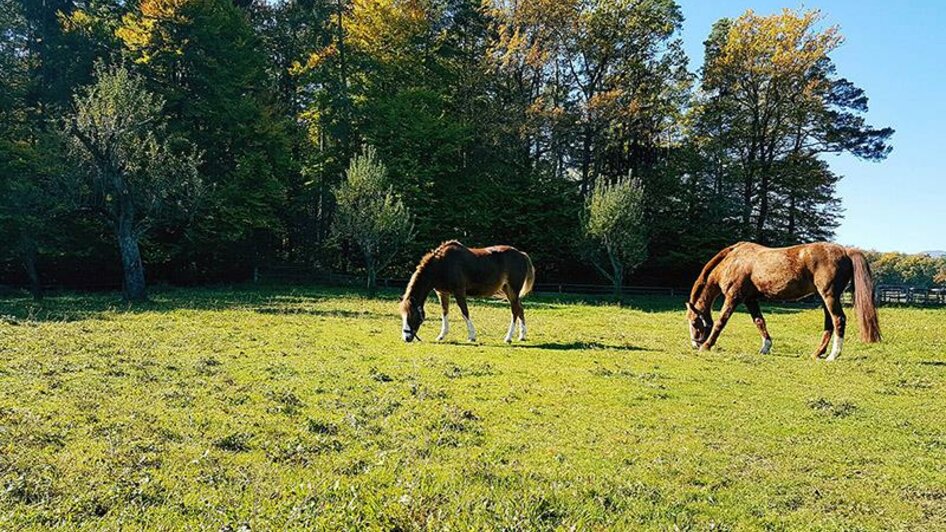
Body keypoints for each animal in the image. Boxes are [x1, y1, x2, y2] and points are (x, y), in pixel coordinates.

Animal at [396, 242, 536, 344]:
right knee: (520, 308)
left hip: (513, 289)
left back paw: (508, 338)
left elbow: (464, 312)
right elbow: (445, 312)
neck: (441, 265)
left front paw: (472, 336)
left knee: (515, 311)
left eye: (412, 315)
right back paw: (522, 336)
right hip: (508, 290)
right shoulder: (443, 293)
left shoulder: (459, 292)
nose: (406, 338)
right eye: (403, 315)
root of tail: (521, 254)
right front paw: (441, 336)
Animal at [684, 242, 880, 362]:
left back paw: (833, 355)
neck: (733, 261)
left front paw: (707, 346)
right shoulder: (750, 299)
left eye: (694, 322)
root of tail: (846, 251)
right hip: (825, 299)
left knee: (838, 319)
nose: (695, 344)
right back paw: (818, 353)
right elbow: (759, 321)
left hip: (829, 296)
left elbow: (721, 322)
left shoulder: (734, 297)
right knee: (829, 324)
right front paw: (765, 347)